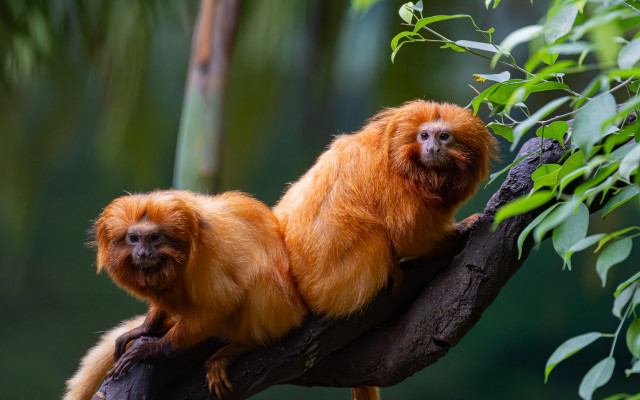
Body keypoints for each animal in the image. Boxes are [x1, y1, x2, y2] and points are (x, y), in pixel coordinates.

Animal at [63, 190, 307, 400]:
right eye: (133, 238)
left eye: (155, 238)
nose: (143, 253)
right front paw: (146, 328)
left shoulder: (206, 258)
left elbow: (222, 302)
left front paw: (154, 350)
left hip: (279, 310)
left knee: (258, 278)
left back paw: (241, 346)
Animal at [273, 100, 498, 400]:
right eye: (424, 136)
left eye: (444, 137)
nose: (433, 149)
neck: (407, 164)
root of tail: (302, 291)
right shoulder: (394, 185)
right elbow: (409, 236)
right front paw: (457, 232)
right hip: (338, 287)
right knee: (378, 236)